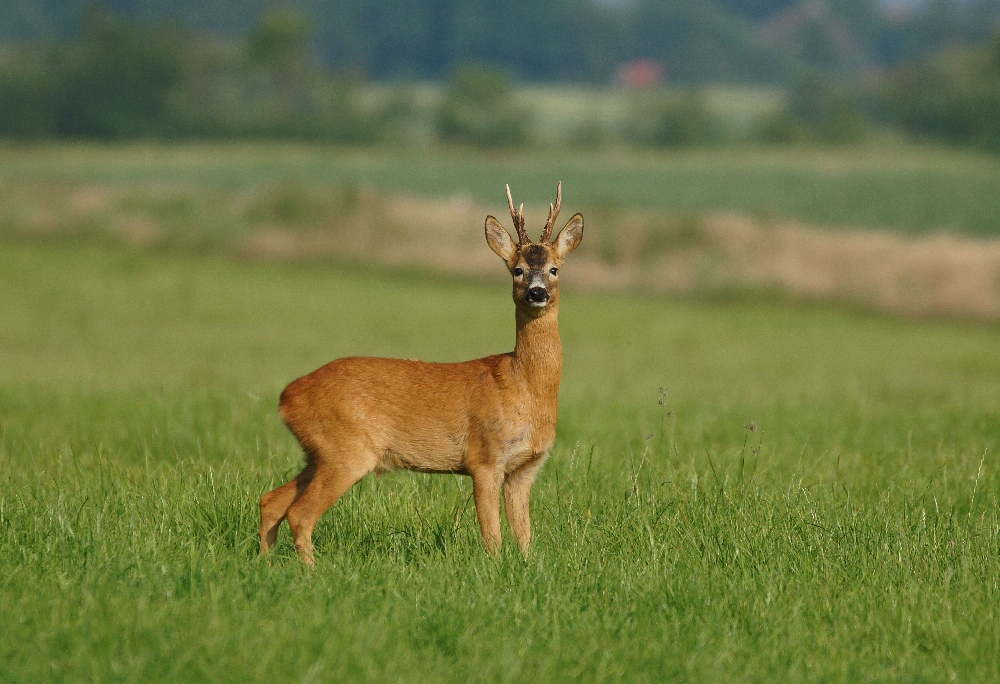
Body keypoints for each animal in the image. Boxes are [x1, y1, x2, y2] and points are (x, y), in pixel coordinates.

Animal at [260, 184, 584, 564]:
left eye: (554, 269)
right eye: (517, 270)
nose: (537, 292)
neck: (524, 384)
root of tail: (287, 397)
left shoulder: (525, 468)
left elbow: (525, 537)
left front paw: (527, 567)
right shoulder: (484, 457)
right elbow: (492, 536)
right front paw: (494, 569)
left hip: (318, 452)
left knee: (271, 501)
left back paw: (266, 564)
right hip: (346, 450)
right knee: (300, 513)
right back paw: (311, 570)